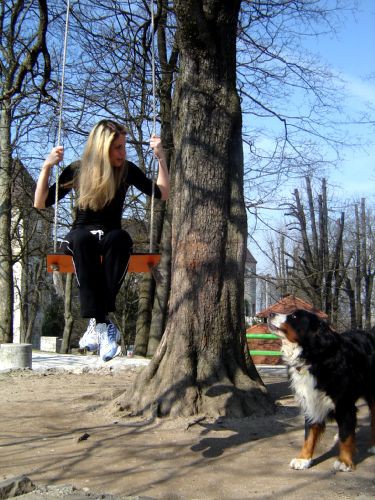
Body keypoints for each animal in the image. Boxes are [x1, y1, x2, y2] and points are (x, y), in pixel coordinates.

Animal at [268, 308, 375, 472]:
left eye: (294, 316)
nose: (270, 314)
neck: (312, 358)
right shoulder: (310, 400)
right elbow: (309, 435)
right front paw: (303, 459)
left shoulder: (344, 404)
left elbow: (346, 436)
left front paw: (344, 461)